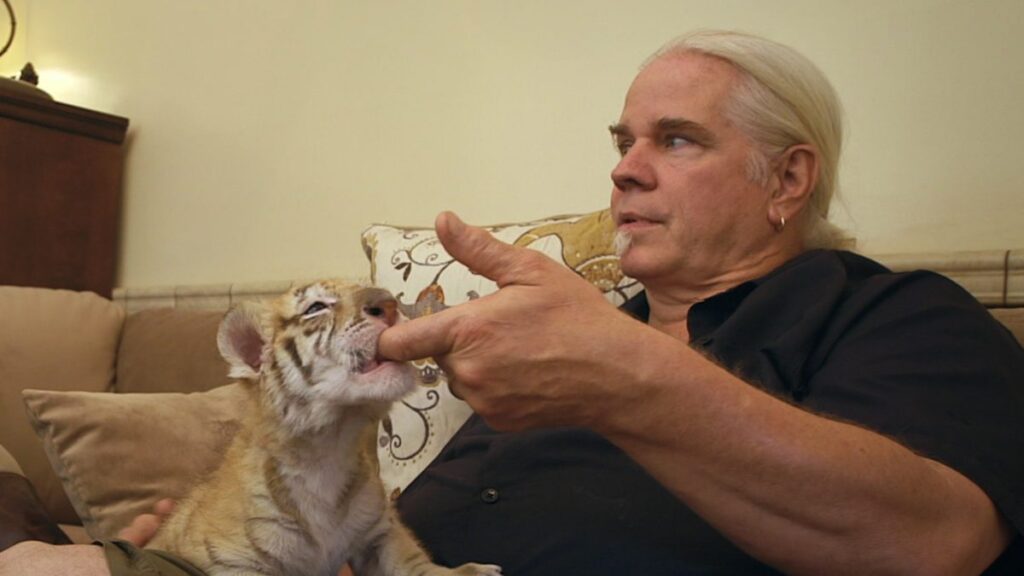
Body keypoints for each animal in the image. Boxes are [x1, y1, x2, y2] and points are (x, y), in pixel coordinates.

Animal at [145, 280, 502, 576]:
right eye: (315, 307)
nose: (389, 303)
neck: (328, 447)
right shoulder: (235, 561)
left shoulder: (379, 531)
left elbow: (411, 560)